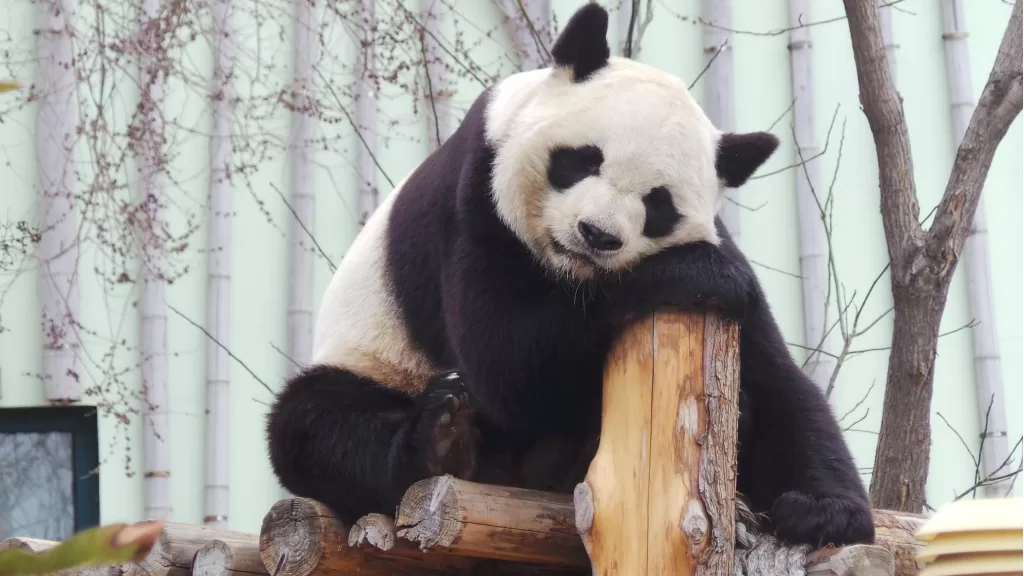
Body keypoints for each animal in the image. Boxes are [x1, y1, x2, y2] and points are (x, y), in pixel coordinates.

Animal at [266, 2, 874, 552]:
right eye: (583, 160)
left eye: (657, 204)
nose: (597, 234)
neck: (572, 276)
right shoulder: (475, 198)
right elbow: (508, 360)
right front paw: (697, 273)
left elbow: (778, 378)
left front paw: (824, 512)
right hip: (377, 360)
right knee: (313, 424)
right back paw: (442, 438)